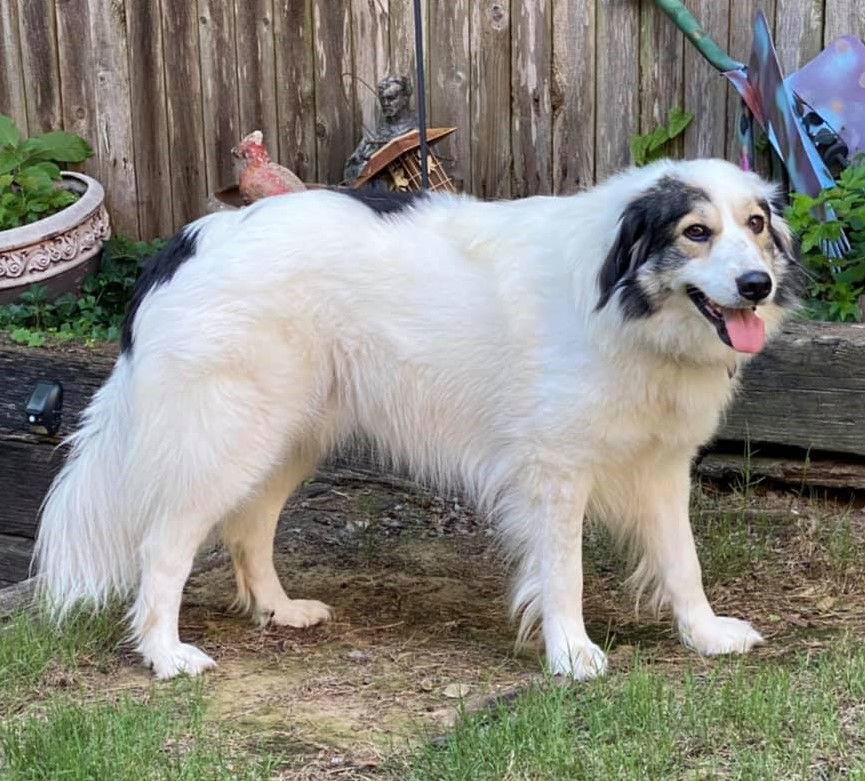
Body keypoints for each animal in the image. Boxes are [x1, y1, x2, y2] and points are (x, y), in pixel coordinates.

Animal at [37, 157, 800, 676]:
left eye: (756, 225)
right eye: (695, 232)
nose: (756, 285)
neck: (622, 303)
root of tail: (187, 242)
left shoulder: (663, 468)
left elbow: (683, 563)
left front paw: (704, 635)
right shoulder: (554, 474)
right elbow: (565, 574)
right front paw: (571, 653)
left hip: (286, 439)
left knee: (249, 529)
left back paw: (280, 611)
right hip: (224, 441)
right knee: (163, 547)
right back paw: (166, 653)